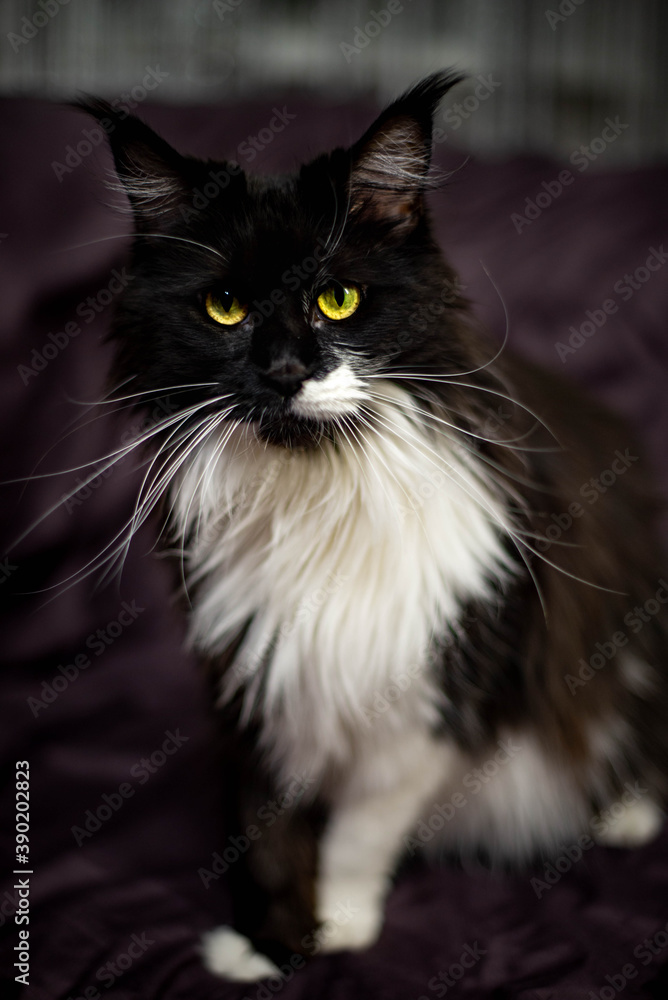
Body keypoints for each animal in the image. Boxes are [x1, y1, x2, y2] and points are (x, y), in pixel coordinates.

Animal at [79, 72, 668, 984]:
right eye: (225, 308)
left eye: (337, 299)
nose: (285, 369)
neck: (315, 495)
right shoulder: (256, 670)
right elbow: (268, 827)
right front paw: (266, 945)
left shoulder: (429, 695)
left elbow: (360, 833)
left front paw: (340, 925)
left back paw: (628, 816)